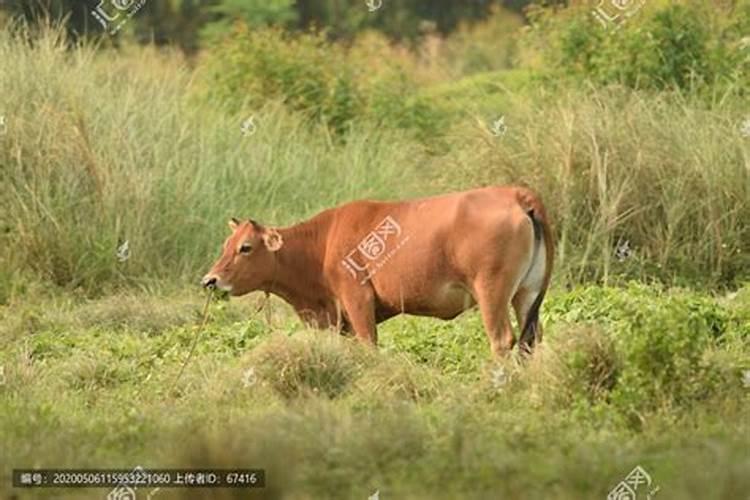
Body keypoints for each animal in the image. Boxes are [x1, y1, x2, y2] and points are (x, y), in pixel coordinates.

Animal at [203, 187, 556, 356]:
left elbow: (369, 346)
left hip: (491, 292)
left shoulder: (357, 300)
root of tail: (515, 193)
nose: (210, 280)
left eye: (245, 247)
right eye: (225, 243)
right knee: (531, 340)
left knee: (502, 339)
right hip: (526, 294)